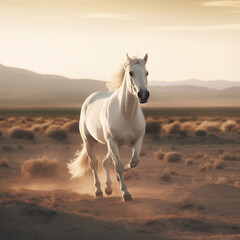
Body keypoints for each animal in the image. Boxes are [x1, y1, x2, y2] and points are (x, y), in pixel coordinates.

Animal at [67, 53, 149, 202]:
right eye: (131, 73)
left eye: (147, 73)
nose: (144, 95)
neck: (126, 113)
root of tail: (89, 98)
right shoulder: (112, 142)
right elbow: (119, 166)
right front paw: (126, 193)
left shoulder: (137, 140)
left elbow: (133, 162)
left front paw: (117, 180)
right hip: (90, 141)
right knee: (94, 163)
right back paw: (99, 191)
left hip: (116, 145)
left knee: (105, 162)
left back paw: (108, 188)